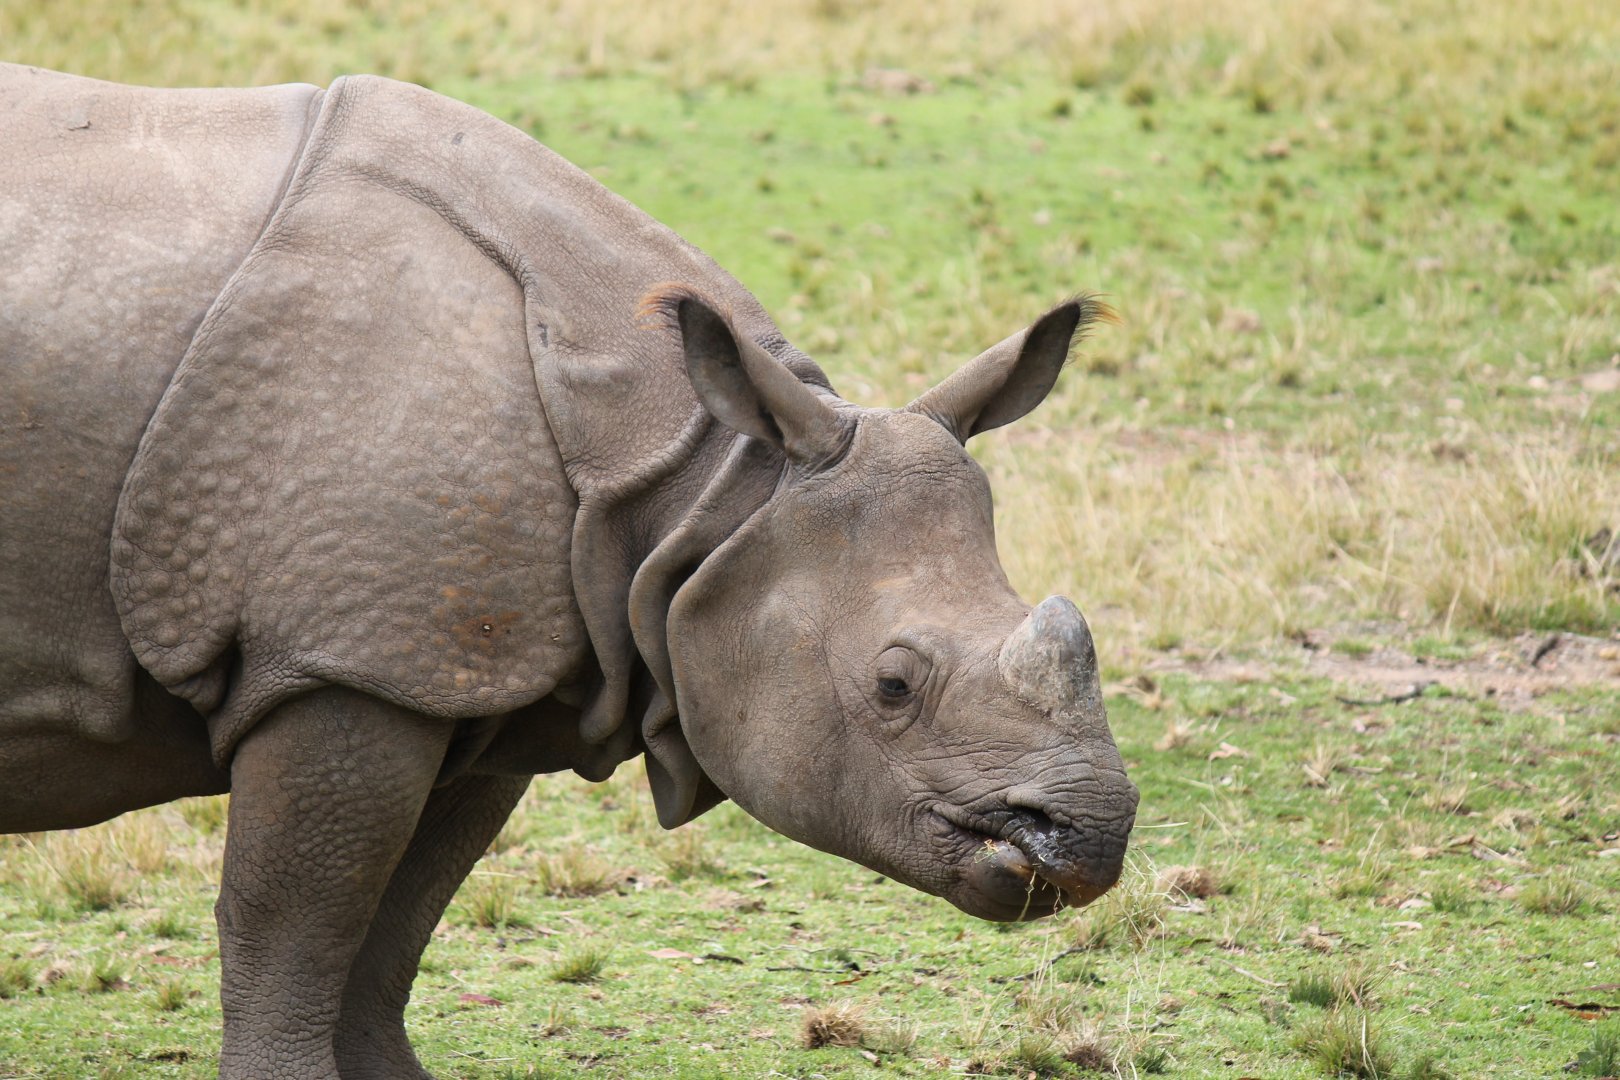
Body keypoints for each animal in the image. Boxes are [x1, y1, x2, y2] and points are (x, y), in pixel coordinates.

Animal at [0, 64, 1138, 1077]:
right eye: (894, 685)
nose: (1088, 838)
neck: (710, 486)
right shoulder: (339, 658)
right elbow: (292, 914)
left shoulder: (464, 668)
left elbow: (400, 913)